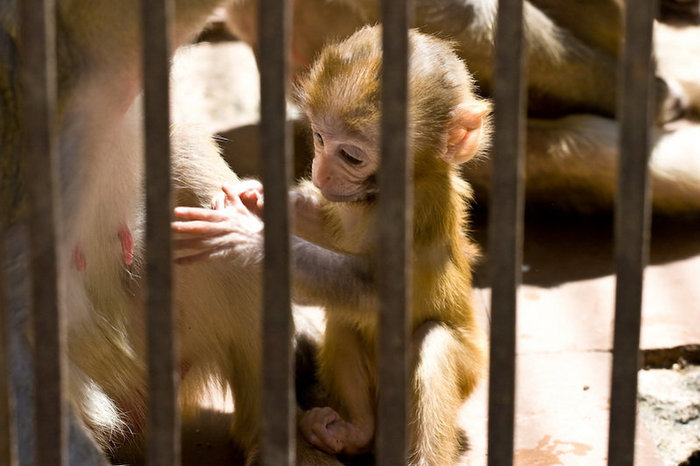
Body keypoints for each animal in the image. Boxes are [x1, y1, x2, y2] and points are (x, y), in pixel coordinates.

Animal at [172, 26, 486, 466]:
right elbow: (329, 230)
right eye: (319, 138)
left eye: (351, 156)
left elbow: (375, 288)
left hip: (469, 370)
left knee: (433, 342)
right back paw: (356, 432)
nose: (320, 173)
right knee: (344, 319)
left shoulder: (415, 212)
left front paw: (243, 235)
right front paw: (259, 197)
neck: (378, 196)